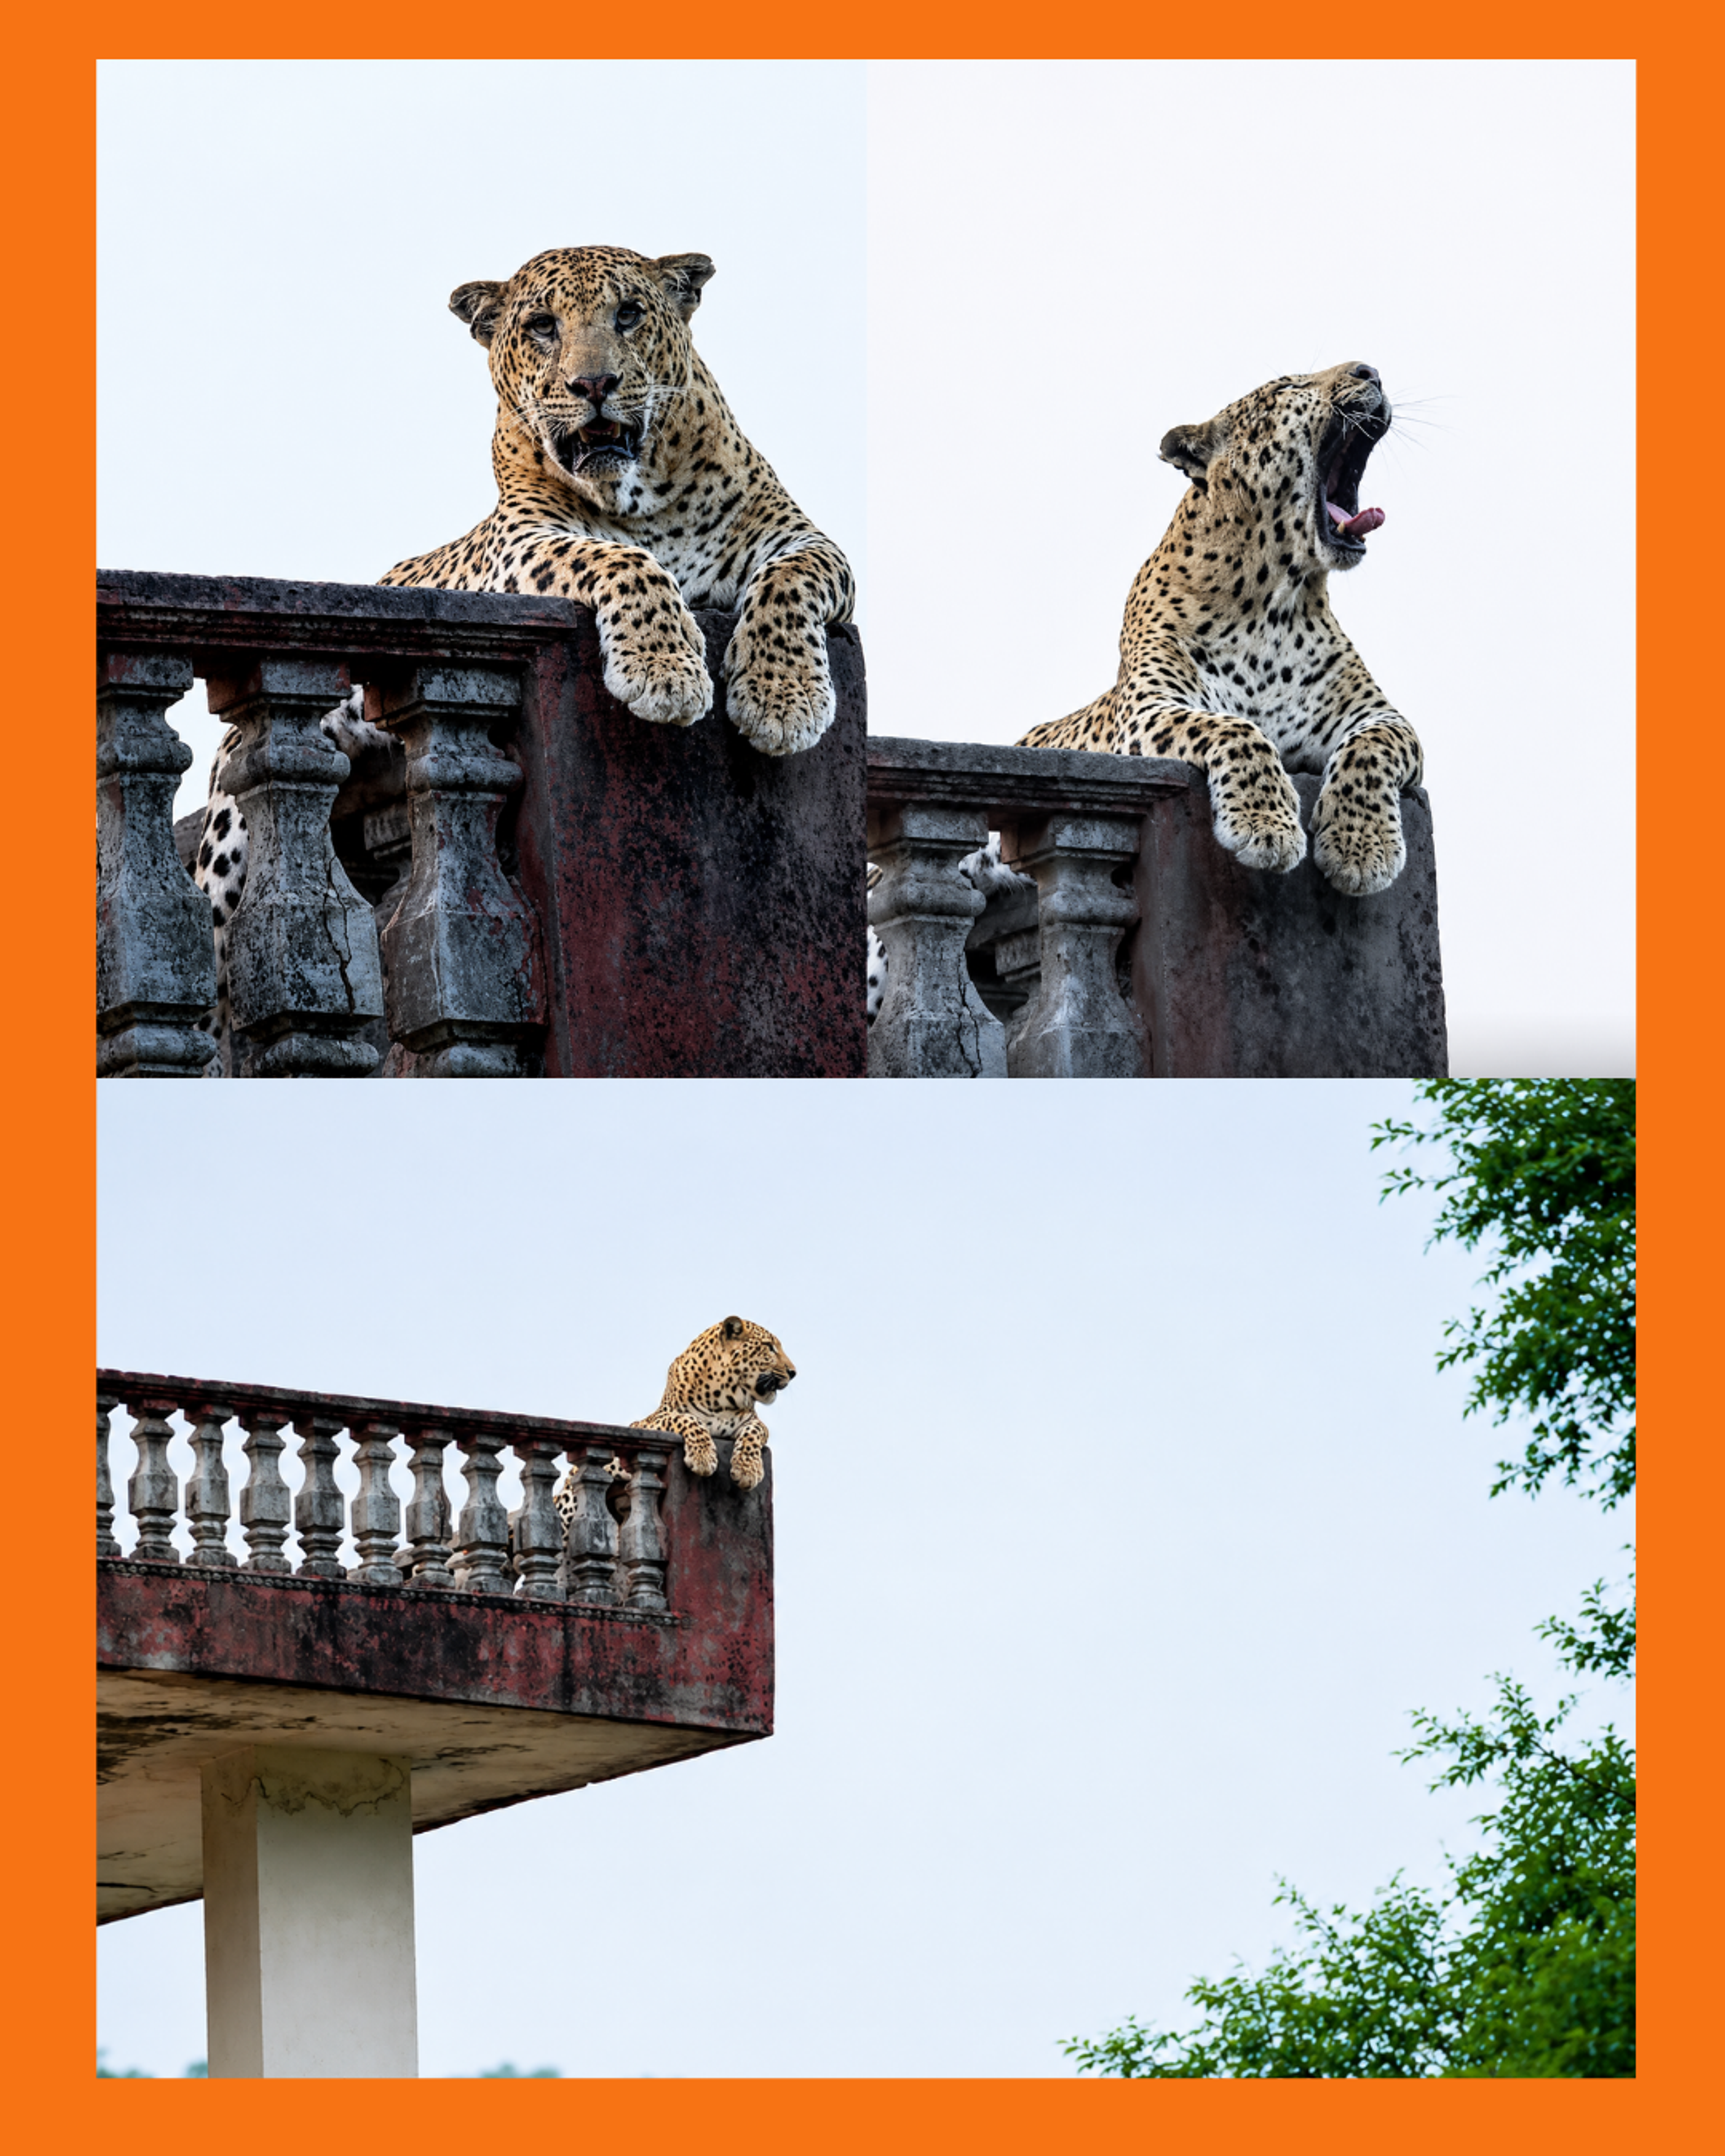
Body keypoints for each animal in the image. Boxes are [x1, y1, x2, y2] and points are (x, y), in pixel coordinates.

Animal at [188, 244, 854, 1070]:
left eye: (629, 314)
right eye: (542, 327)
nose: (594, 385)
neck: (643, 499)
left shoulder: (807, 541)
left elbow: (790, 585)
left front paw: (781, 700)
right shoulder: (526, 546)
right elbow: (624, 563)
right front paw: (664, 674)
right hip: (229, 837)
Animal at [1017, 361, 1422, 899]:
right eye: (1289, 386)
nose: (1370, 370)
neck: (1273, 603)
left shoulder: (1379, 715)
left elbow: (1370, 750)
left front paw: (1361, 846)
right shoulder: (1149, 710)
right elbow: (1236, 728)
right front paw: (1266, 825)